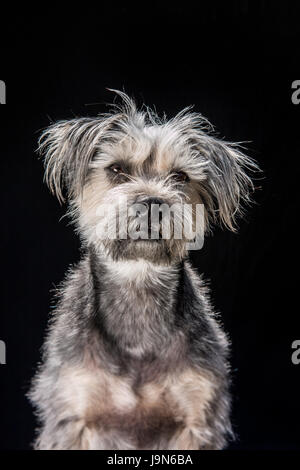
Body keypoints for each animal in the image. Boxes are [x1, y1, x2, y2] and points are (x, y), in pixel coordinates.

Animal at [28, 91, 258, 448]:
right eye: (117, 169)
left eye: (180, 176)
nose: (153, 203)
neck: (138, 281)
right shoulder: (72, 415)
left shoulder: (198, 417)